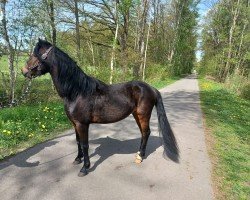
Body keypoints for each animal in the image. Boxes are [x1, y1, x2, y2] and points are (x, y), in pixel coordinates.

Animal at [21, 39, 178, 177]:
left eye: (36, 54)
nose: (24, 71)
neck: (77, 91)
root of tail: (151, 88)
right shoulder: (74, 123)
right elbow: (78, 142)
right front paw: (78, 159)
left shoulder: (82, 124)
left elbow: (85, 144)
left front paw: (85, 168)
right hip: (136, 115)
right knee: (144, 133)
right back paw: (139, 154)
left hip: (143, 114)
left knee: (146, 132)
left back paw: (140, 157)